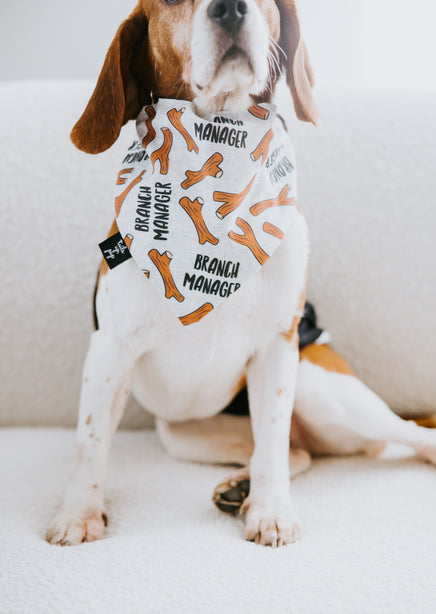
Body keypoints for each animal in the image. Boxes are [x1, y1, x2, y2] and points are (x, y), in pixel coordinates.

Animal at [46, 0, 436, 548]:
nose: (230, 7)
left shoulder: (276, 347)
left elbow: (270, 438)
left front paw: (271, 512)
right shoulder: (111, 350)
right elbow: (91, 440)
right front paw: (79, 514)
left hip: (322, 388)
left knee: (400, 437)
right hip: (184, 433)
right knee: (300, 451)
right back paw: (238, 486)